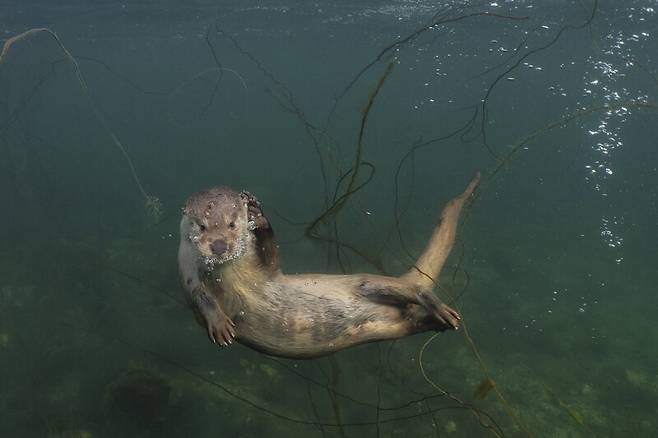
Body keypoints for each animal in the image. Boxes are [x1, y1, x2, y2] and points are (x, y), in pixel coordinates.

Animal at [177, 174, 480, 360]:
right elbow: (200, 296)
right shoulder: (187, 269)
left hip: (365, 283)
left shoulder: (266, 272)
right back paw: (438, 322)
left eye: (232, 223)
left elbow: (272, 260)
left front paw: (258, 215)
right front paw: (219, 324)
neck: (232, 273)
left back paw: (442, 310)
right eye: (202, 226)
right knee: (412, 320)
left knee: (414, 289)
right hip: (392, 328)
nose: (219, 246)